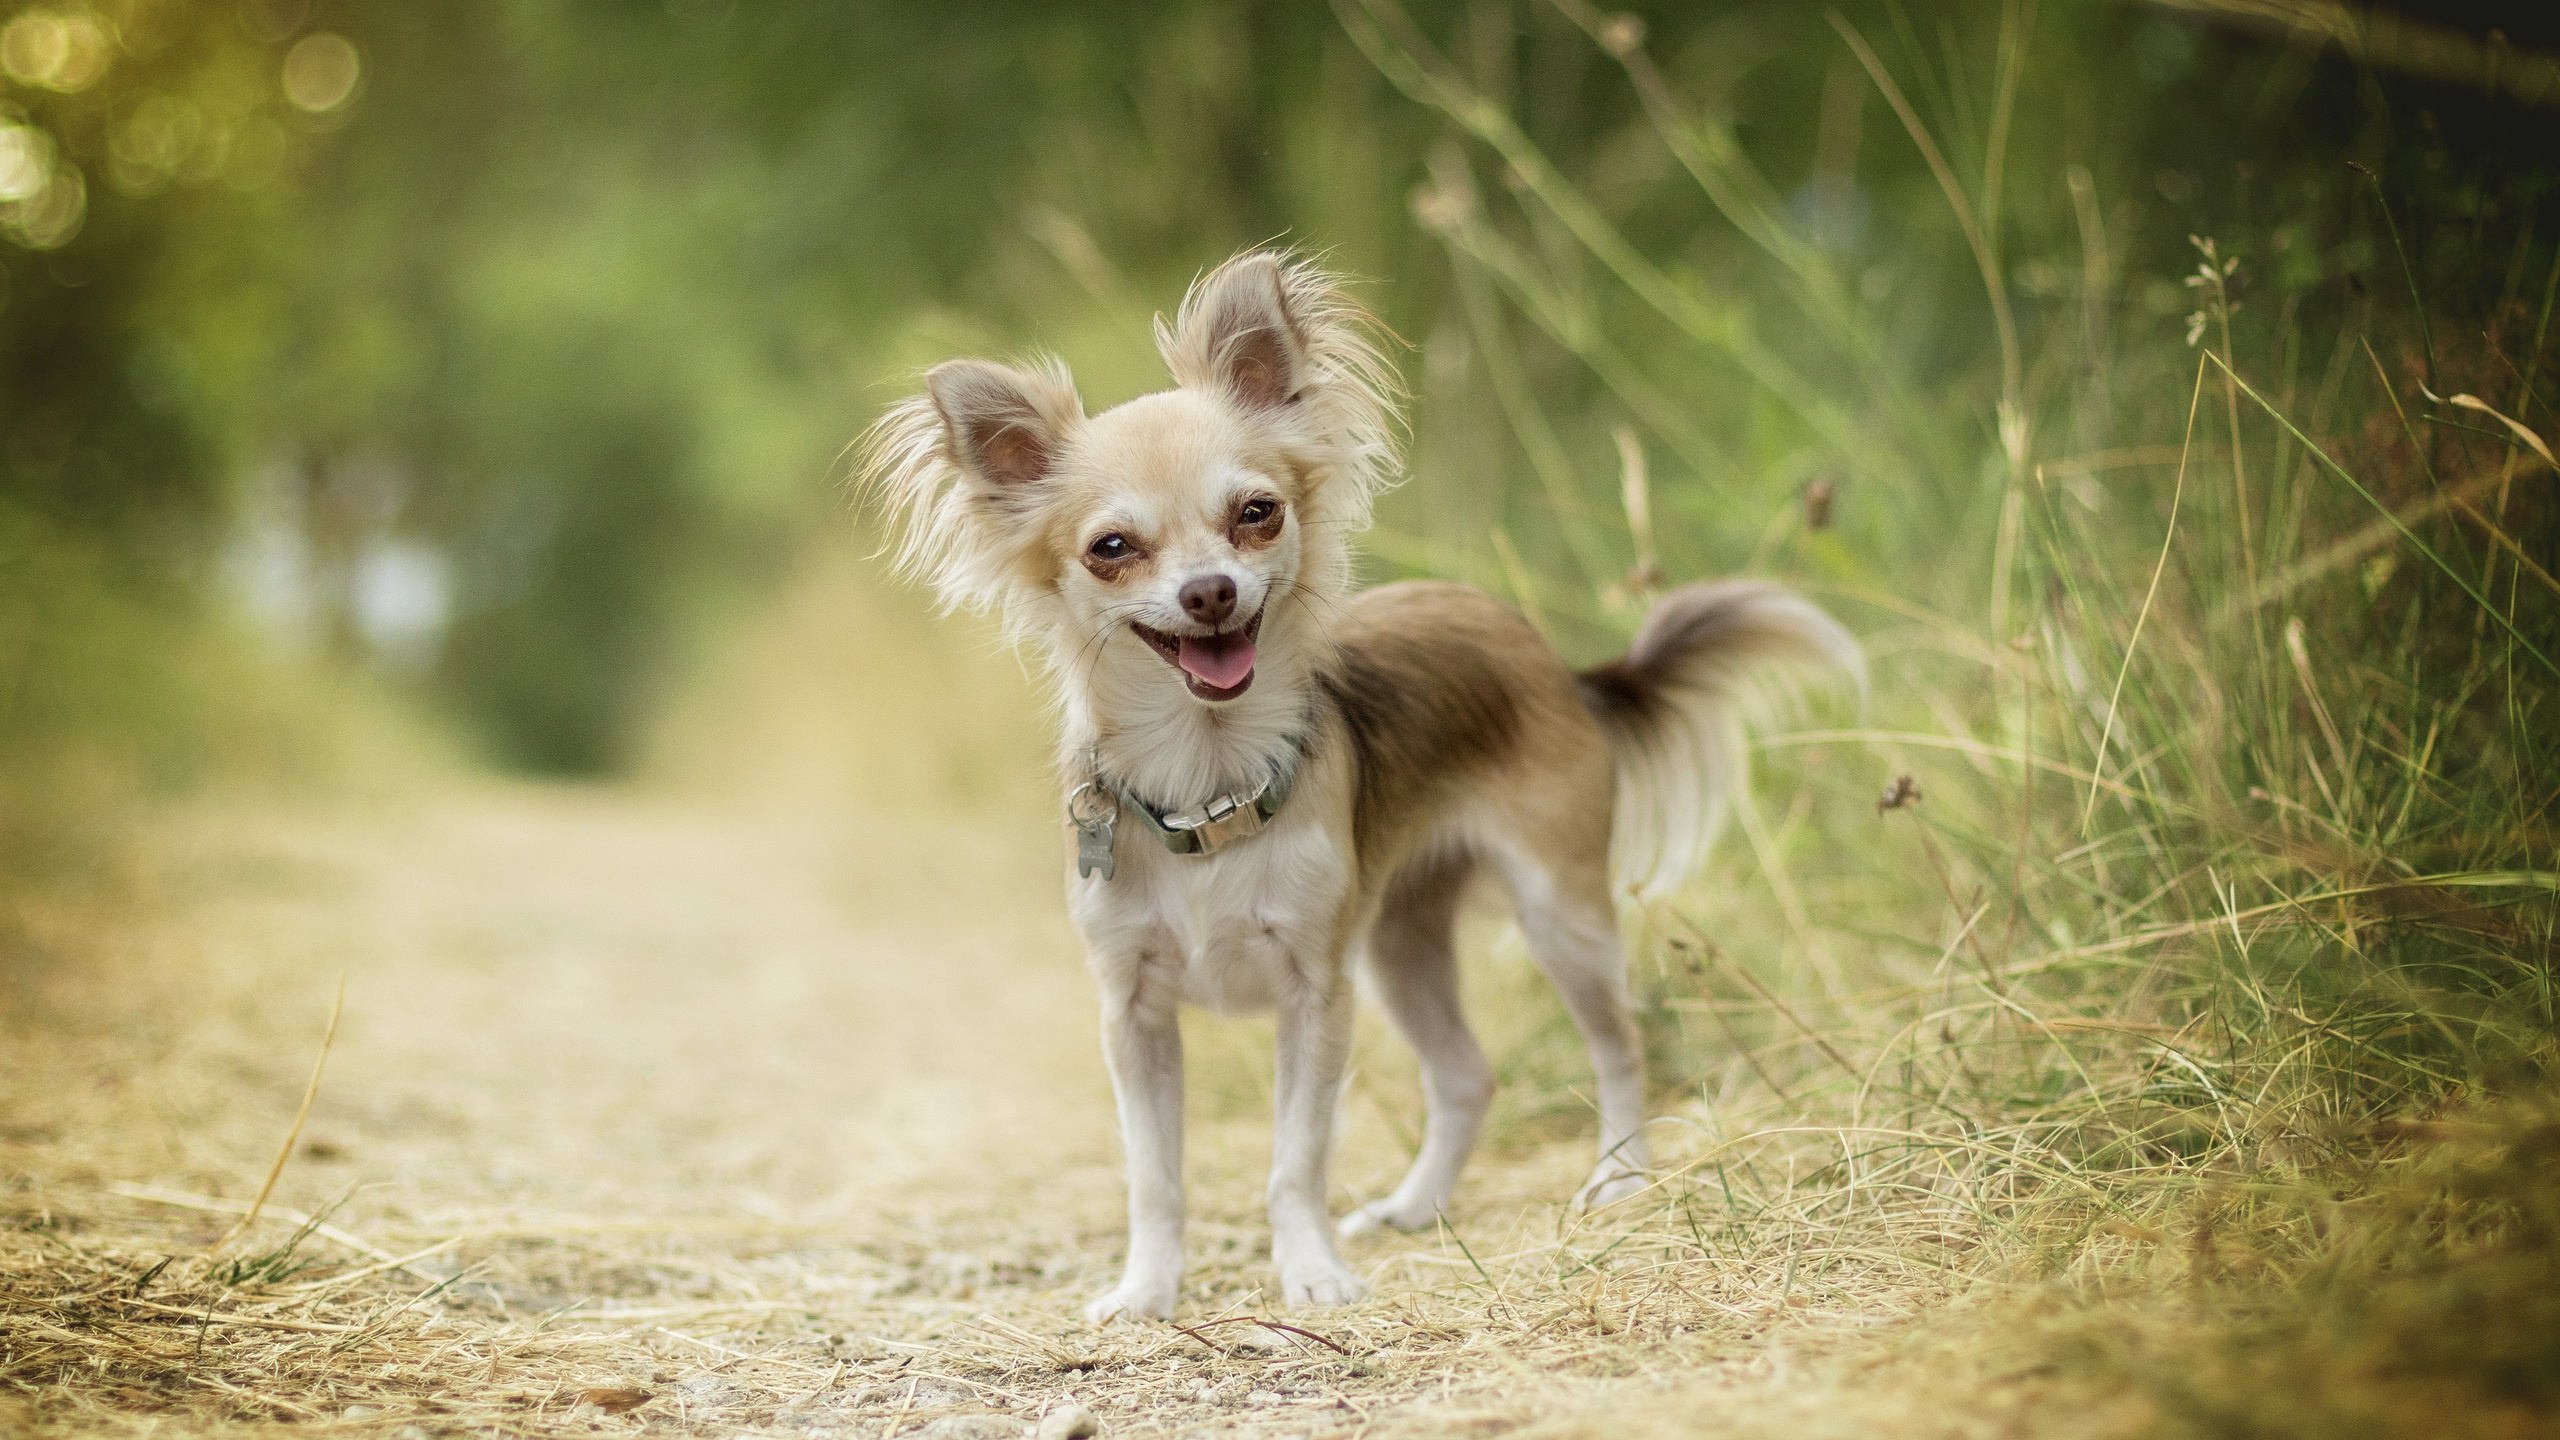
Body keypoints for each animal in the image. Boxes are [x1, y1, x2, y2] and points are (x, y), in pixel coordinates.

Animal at [865, 252, 1863, 1322]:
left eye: (1256, 513)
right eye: (1112, 548)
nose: (1210, 592)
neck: (1208, 779)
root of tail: (1553, 661)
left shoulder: (1316, 994)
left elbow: (1294, 1161)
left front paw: (1310, 1273)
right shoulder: (1133, 1014)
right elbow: (1154, 1176)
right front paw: (1145, 1289)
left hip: (1557, 918)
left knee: (1618, 1046)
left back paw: (1620, 1176)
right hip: (1399, 946)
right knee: (1466, 1076)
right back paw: (1417, 1207)